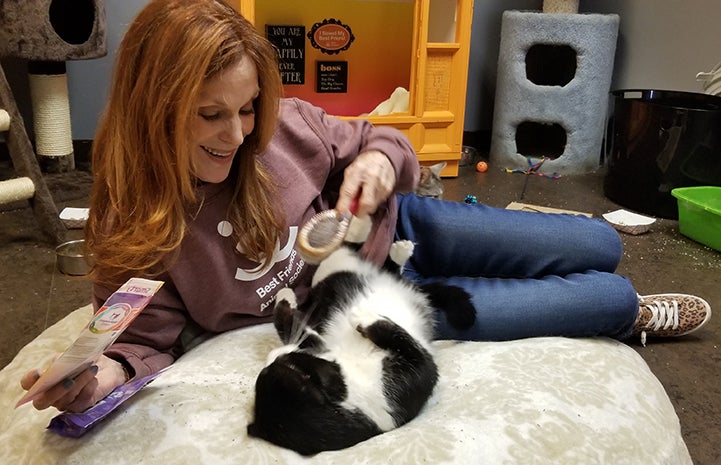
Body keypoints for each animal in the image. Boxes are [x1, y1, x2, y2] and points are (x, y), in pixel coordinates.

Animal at [246, 217, 438, 454]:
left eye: (271, 367)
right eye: (286, 363)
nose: (273, 355)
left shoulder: (324, 343)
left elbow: (292, 326)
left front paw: (284, 298)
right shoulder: (414, 377)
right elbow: (407, 342)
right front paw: (362, 317)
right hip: (332, 269)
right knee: (345, 252)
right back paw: (368, 233)